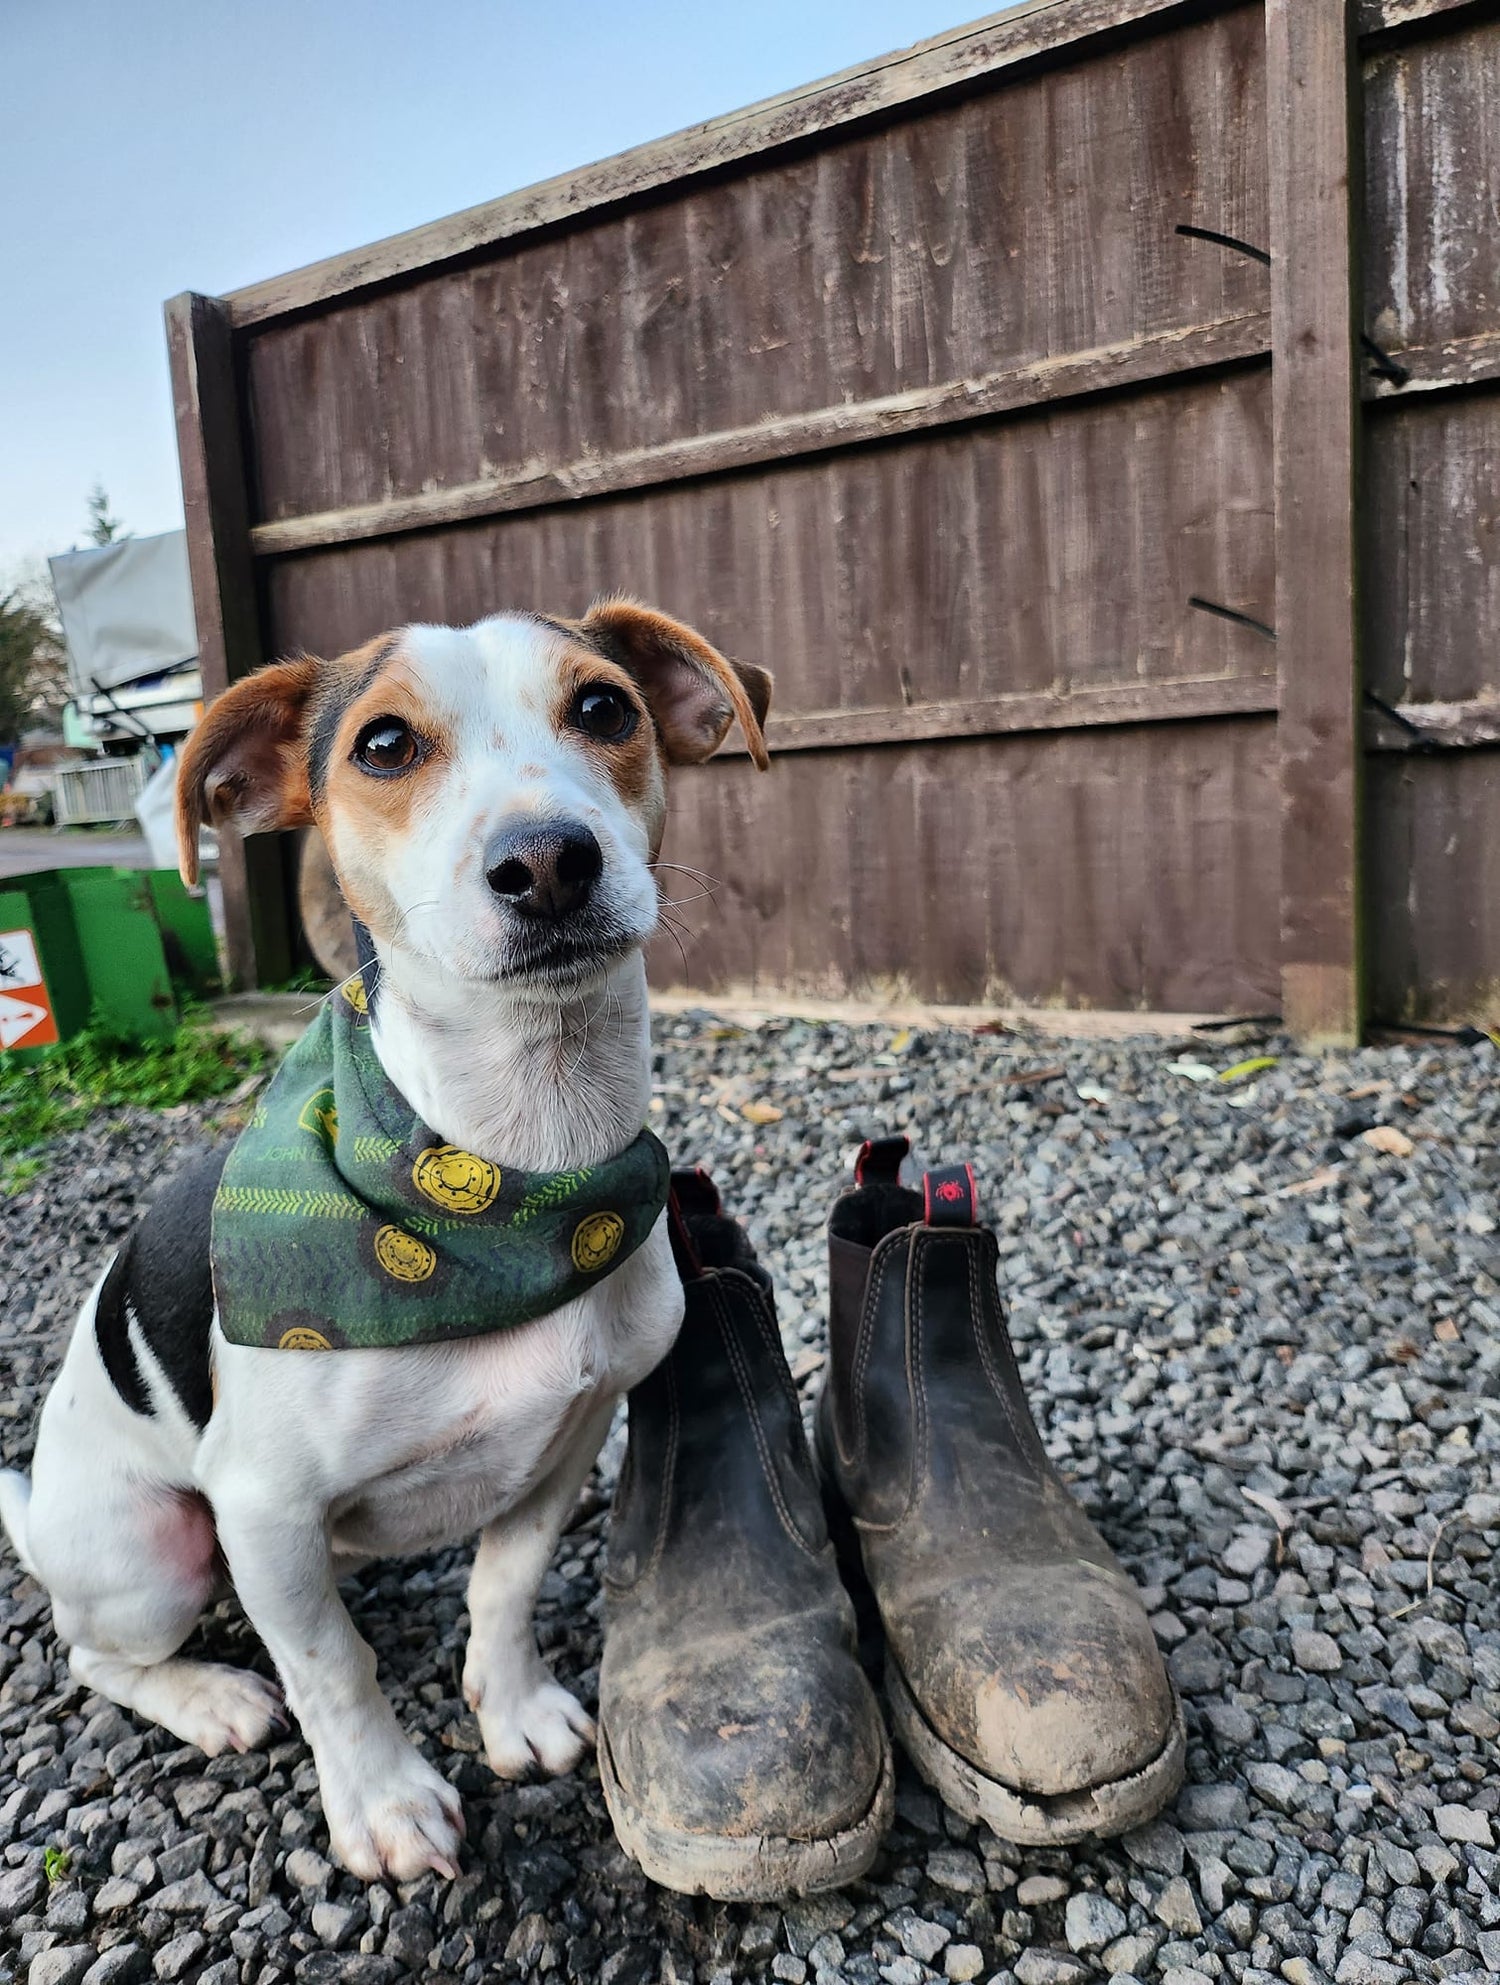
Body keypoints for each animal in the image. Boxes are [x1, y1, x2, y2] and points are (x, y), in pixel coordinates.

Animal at [0, 595, 765, 1881]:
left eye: (604, 706)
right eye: (386, 745)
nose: (547, 860)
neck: (517, 1166)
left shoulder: (569, 1436)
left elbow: (504, 1586)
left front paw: (514, 1709)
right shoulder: (260, 1508)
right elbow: (332, 1669)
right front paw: (386, 1800)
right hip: (153, 1552)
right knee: (98, 1649)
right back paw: (211, 1695)